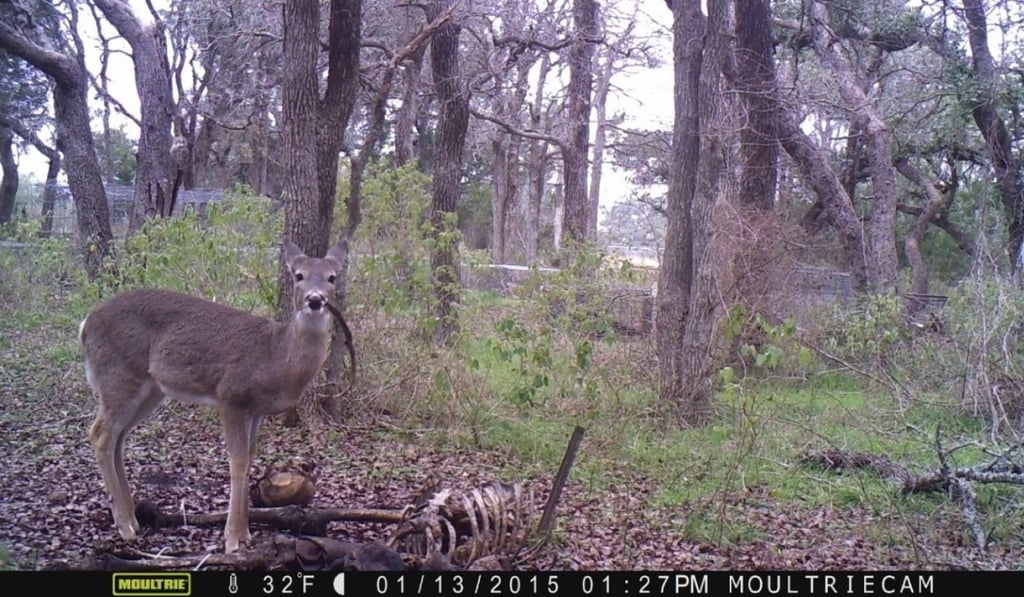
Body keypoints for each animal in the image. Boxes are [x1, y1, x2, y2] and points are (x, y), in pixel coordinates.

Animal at [80, 240, 354, 554]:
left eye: (332, 277)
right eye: (299, 275)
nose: (315, 300)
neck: (274, 357)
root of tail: (85, 324)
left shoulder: (256, 411)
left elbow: (251, 457)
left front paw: (246, 534)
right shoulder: (231, 396)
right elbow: (238, 461)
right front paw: (232, 539)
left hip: (150, 389)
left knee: (118, 437)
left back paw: (133, 520)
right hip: (118, 375)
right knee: (100, 433)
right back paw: (125, 526)